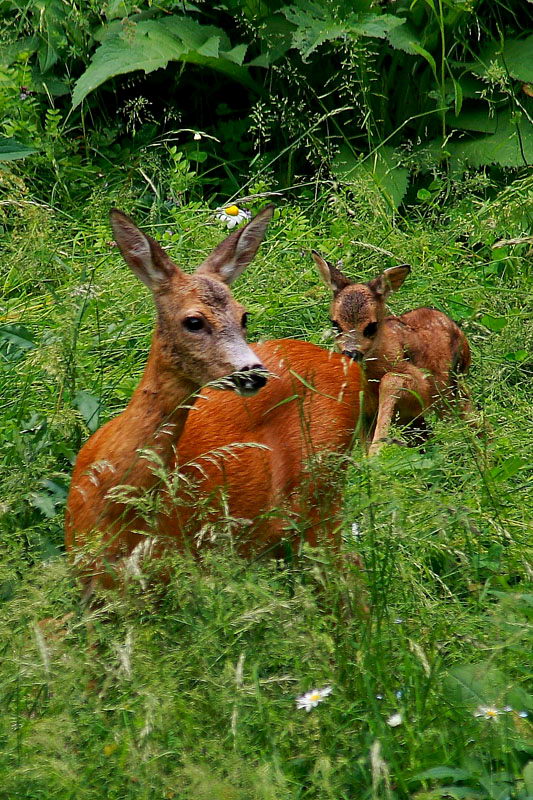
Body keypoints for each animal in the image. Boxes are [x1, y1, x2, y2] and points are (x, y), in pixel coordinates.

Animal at [310, 255, 472, 456]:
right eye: (335, 324)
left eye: (371, 326)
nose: (351, 353)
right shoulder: (366, 412)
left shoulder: (420, 385)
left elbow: (391, 380)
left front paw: (377, 450)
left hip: (449, 391)